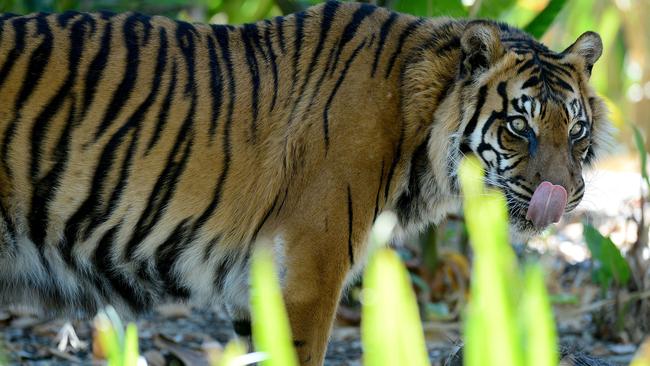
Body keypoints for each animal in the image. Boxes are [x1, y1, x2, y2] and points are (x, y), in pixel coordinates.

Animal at [0, 1, 608, 364]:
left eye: (576, 130)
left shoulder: (256, 283)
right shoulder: (311, 271)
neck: (420, 121)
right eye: (519, 127)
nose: (565, 195)